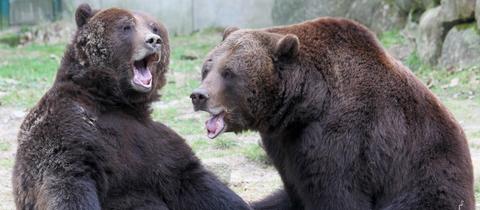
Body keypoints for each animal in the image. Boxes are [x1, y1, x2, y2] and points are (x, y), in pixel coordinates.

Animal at [12, 3, 249, 210]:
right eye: (126, 26)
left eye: (154, 27)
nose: (154, 40)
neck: (114, 101)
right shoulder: (67, 128)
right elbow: (67, 182)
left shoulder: (152, 140)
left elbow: (193, 179)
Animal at [189, 18, 474, 210]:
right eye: (207, 68)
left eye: (229, 73)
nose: (198, 95)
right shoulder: (286, 147)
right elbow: (294, 190)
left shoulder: (343, 139)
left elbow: (336, 193)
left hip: (426, 174)